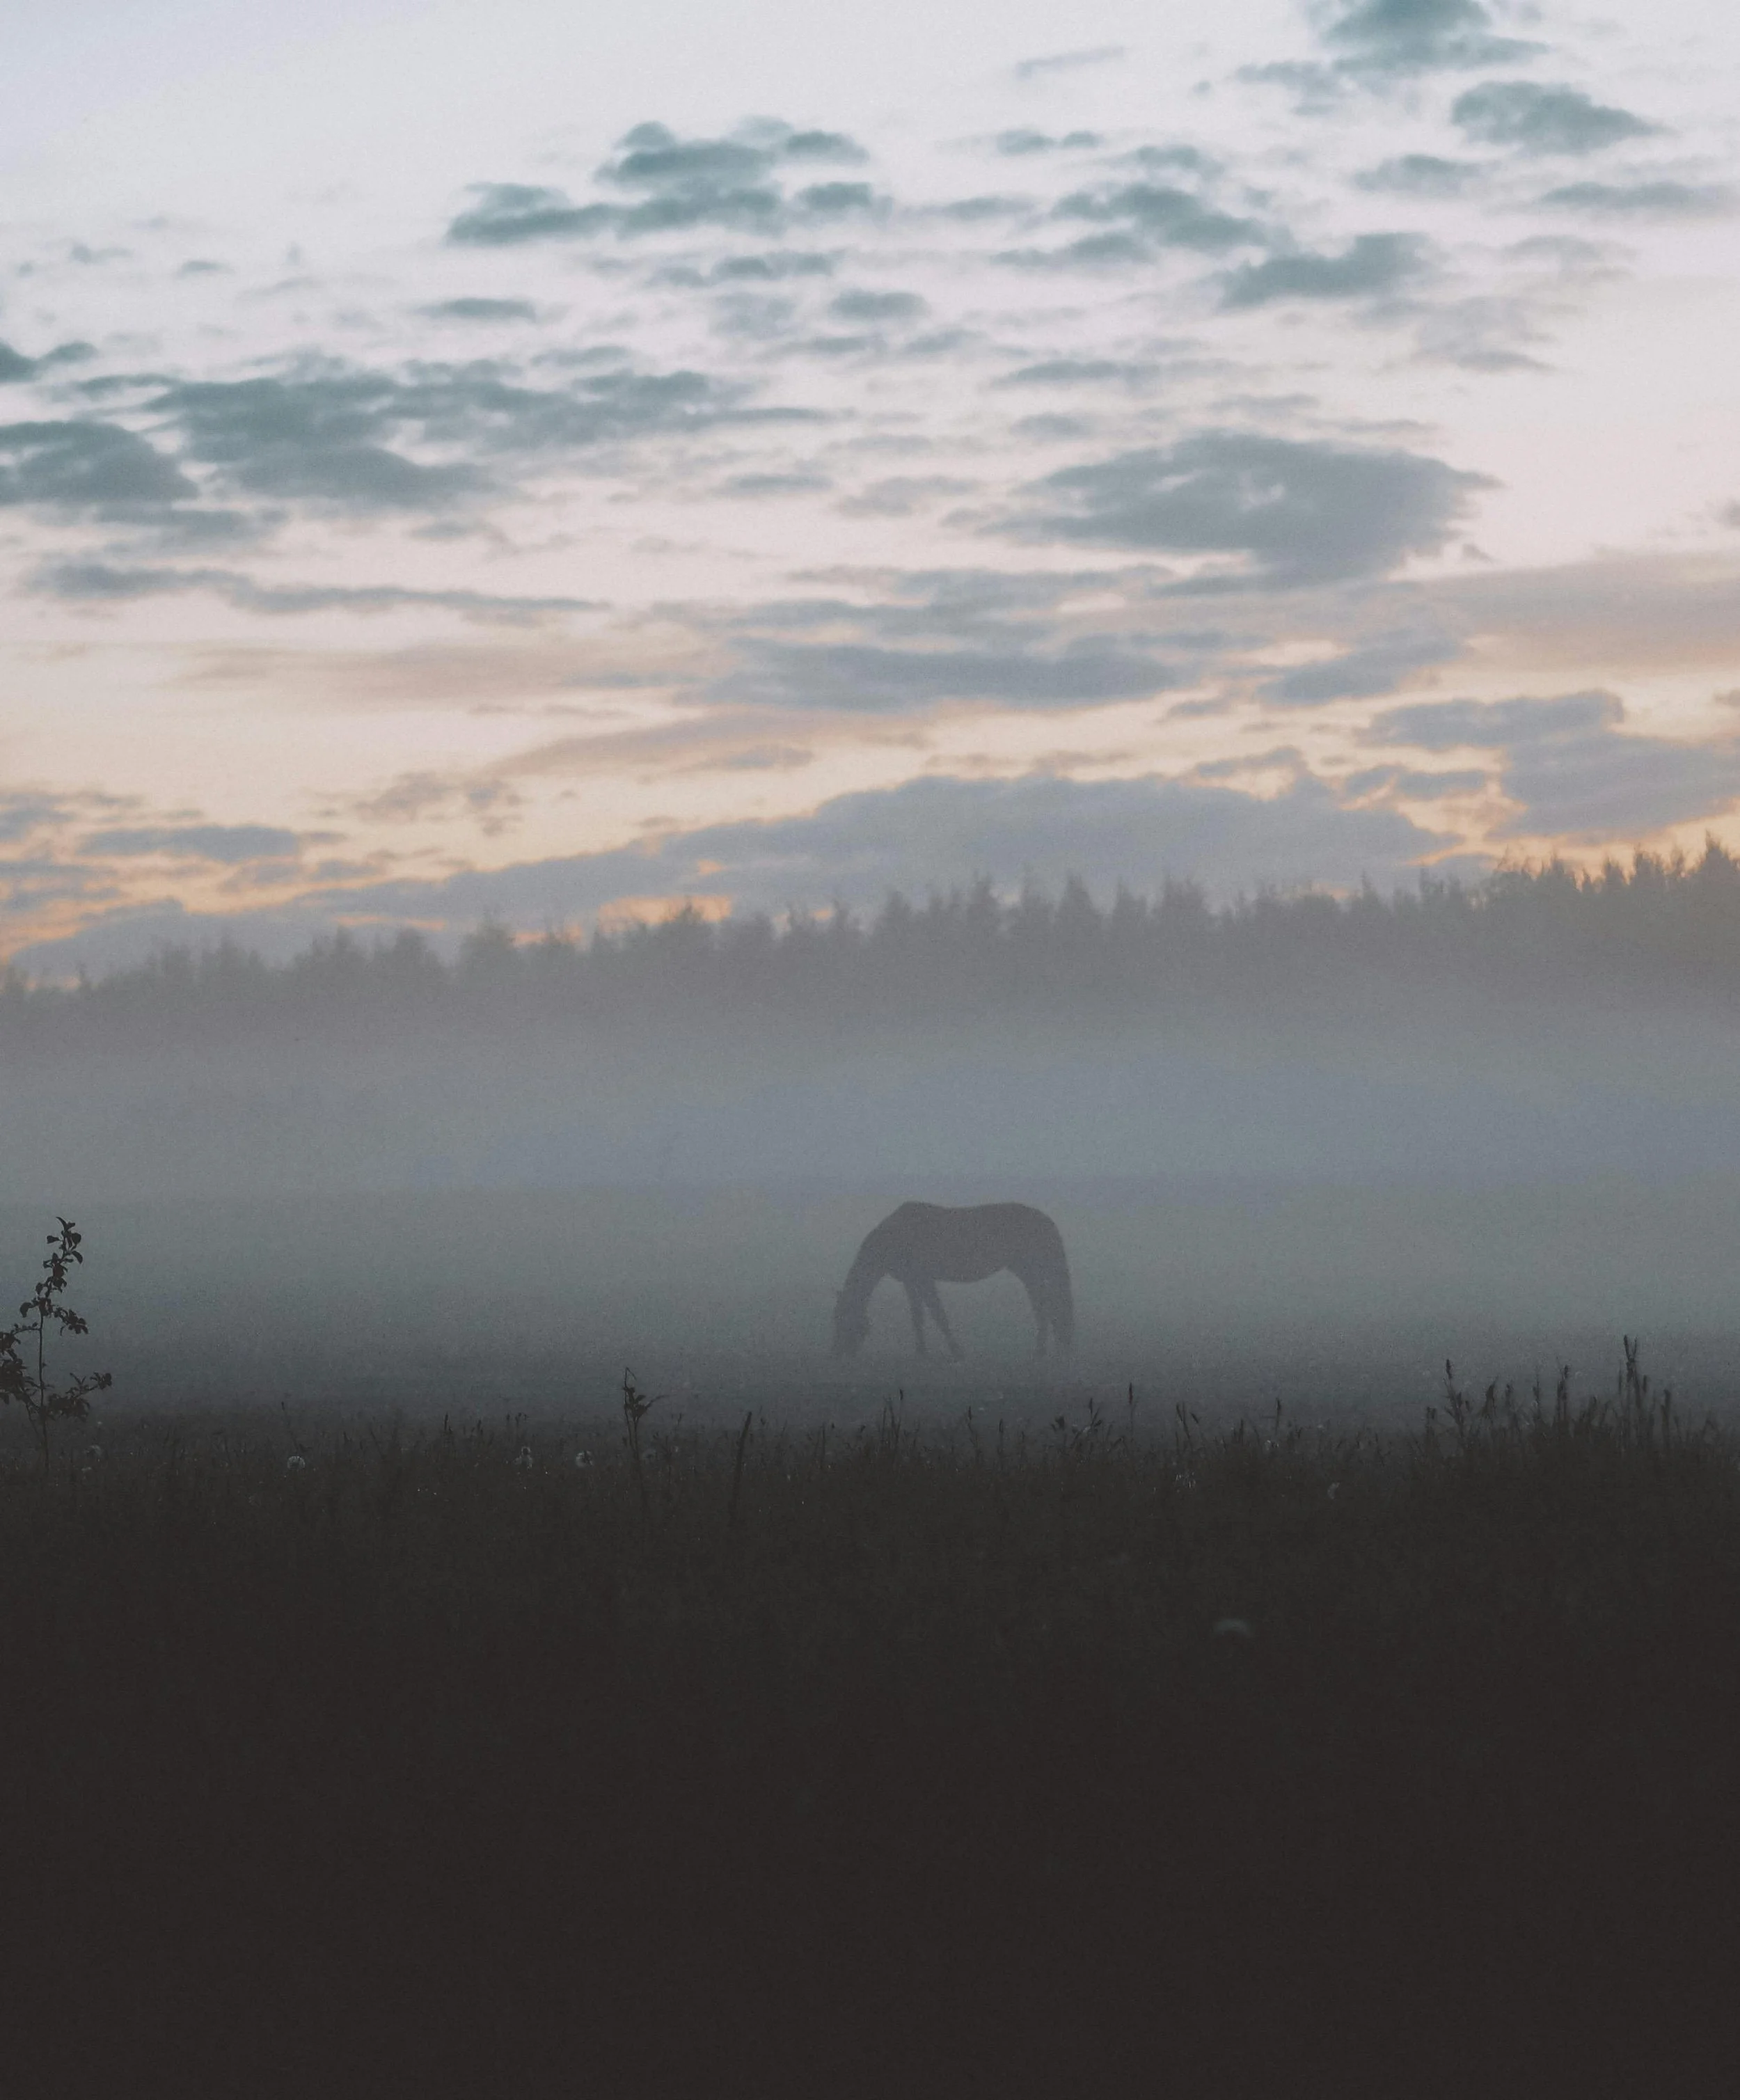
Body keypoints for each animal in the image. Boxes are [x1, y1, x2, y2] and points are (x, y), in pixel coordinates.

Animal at [831, 1202, 1074, 1360]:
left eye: (843, 1318)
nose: (837, 1353)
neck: (890, 1239)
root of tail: (1045, 1220)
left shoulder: (923, 1278)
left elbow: (938, 1313)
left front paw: (956, 1350)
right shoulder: (911, 1281)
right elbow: (917, 1316)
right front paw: (921, 1351)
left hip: (1030, 1268)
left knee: (1043, 1304)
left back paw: (1042, 1349)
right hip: (1025, 1270)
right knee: (1043, 1303)